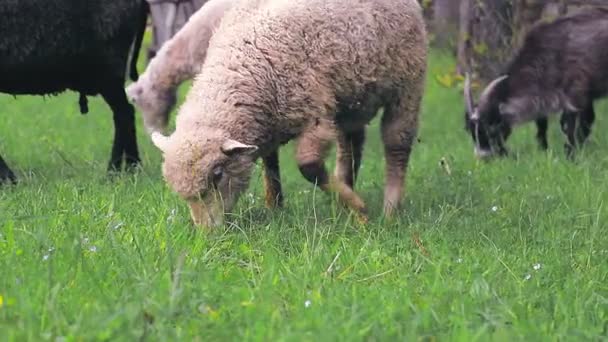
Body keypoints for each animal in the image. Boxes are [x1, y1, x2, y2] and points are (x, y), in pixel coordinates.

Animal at [0, 0, 150, 183]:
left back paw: (116, 170)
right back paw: (130, 167)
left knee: (123, 113)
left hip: (108, 69)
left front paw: (7, 179)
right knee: (125, 112)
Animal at [150, 0, 428, 228]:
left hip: (407, 83)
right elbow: (270, 165)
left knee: (397, 145)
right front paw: (275, 206)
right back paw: (345, 195)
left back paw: (389, 210)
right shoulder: (268, 124)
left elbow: (308, 166)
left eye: (217, 174)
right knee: (351, 146)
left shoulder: (315, 116)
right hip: (351, 100)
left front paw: (360, 208)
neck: (246, 61)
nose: (207, 235)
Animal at [464, 6, 608, 159]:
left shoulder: (576, 93)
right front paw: (543, 151)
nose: (483, 157)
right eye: (471, 131)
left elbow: (573, 126)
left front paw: (571, 155)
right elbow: (542, 126)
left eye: (491, 128)